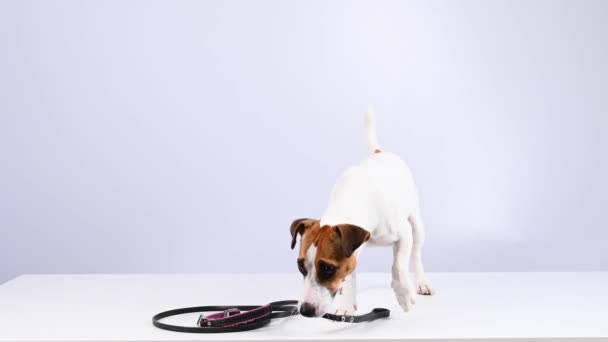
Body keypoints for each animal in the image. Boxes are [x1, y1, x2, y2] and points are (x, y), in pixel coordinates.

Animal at [288, 107, 432, 318]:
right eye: (300, 265)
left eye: (328, 268)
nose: (305, 310)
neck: (353, 197)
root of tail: (380, 152)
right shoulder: (353, 251)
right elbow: (350, 275)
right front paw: (346, 304)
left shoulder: (404, 234)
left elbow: (398, 267)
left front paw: (403, 293)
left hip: (416, 223)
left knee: (415, 254)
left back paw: (421, 283)